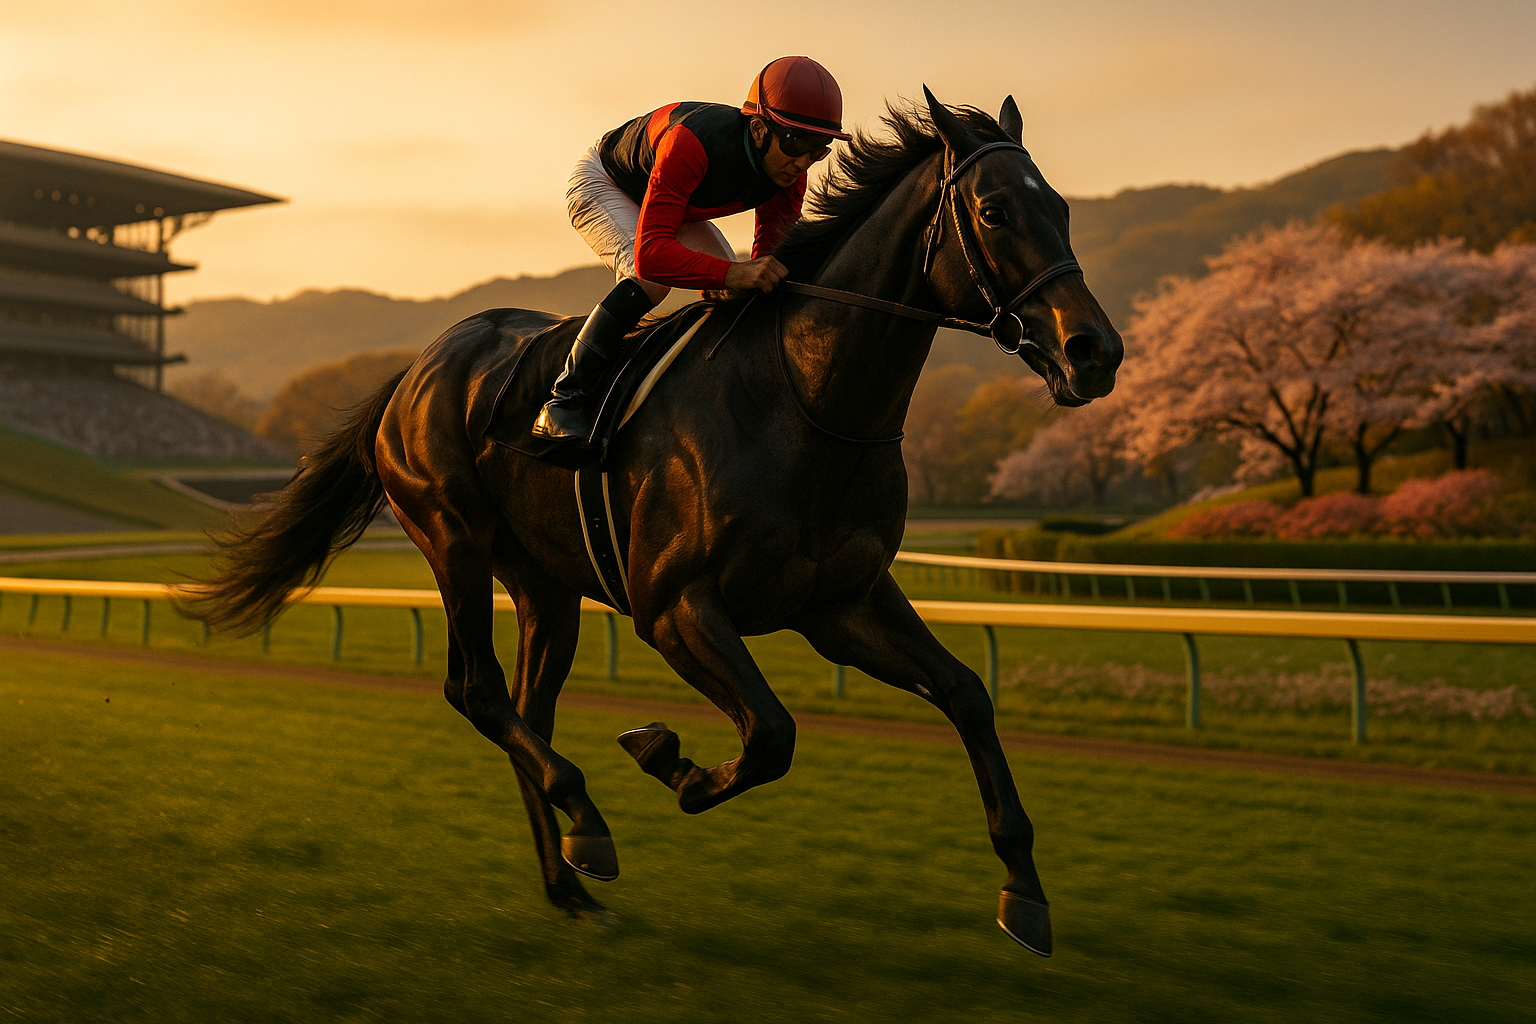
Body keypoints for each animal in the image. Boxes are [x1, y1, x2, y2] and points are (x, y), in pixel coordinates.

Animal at [191, 88, 1122, 957]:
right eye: (995, 212)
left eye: (1063, 207)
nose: (1095, 352)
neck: (806, 399)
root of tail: (416, 370)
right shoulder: (674, 605)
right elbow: (771, 733)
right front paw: (668, 759)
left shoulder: (841, 603)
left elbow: (966, 694)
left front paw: (1024, 892)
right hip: (450, 534)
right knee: (478, 691)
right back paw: (586, 823)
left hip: (544, 584)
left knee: (529, 711)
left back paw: (568, 881)